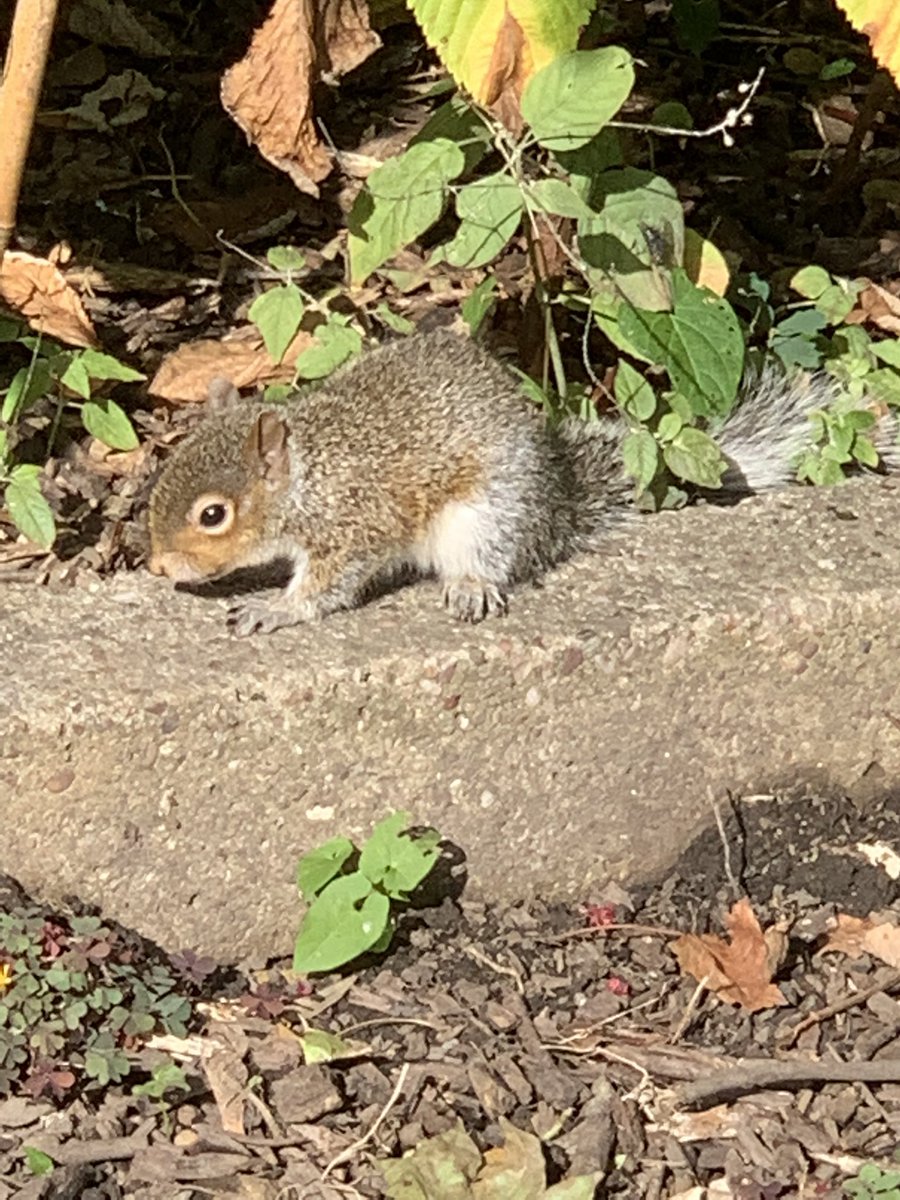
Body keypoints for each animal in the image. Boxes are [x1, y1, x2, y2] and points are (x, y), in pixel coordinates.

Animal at [147, 329, 891, 636]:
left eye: (212, 515)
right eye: (161, 477)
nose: (158, 567)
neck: (311, 472)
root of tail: (556, 499)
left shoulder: (352, 524)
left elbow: (327, 585)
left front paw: (274, 609)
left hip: (486, 514)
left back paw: (472, 586)